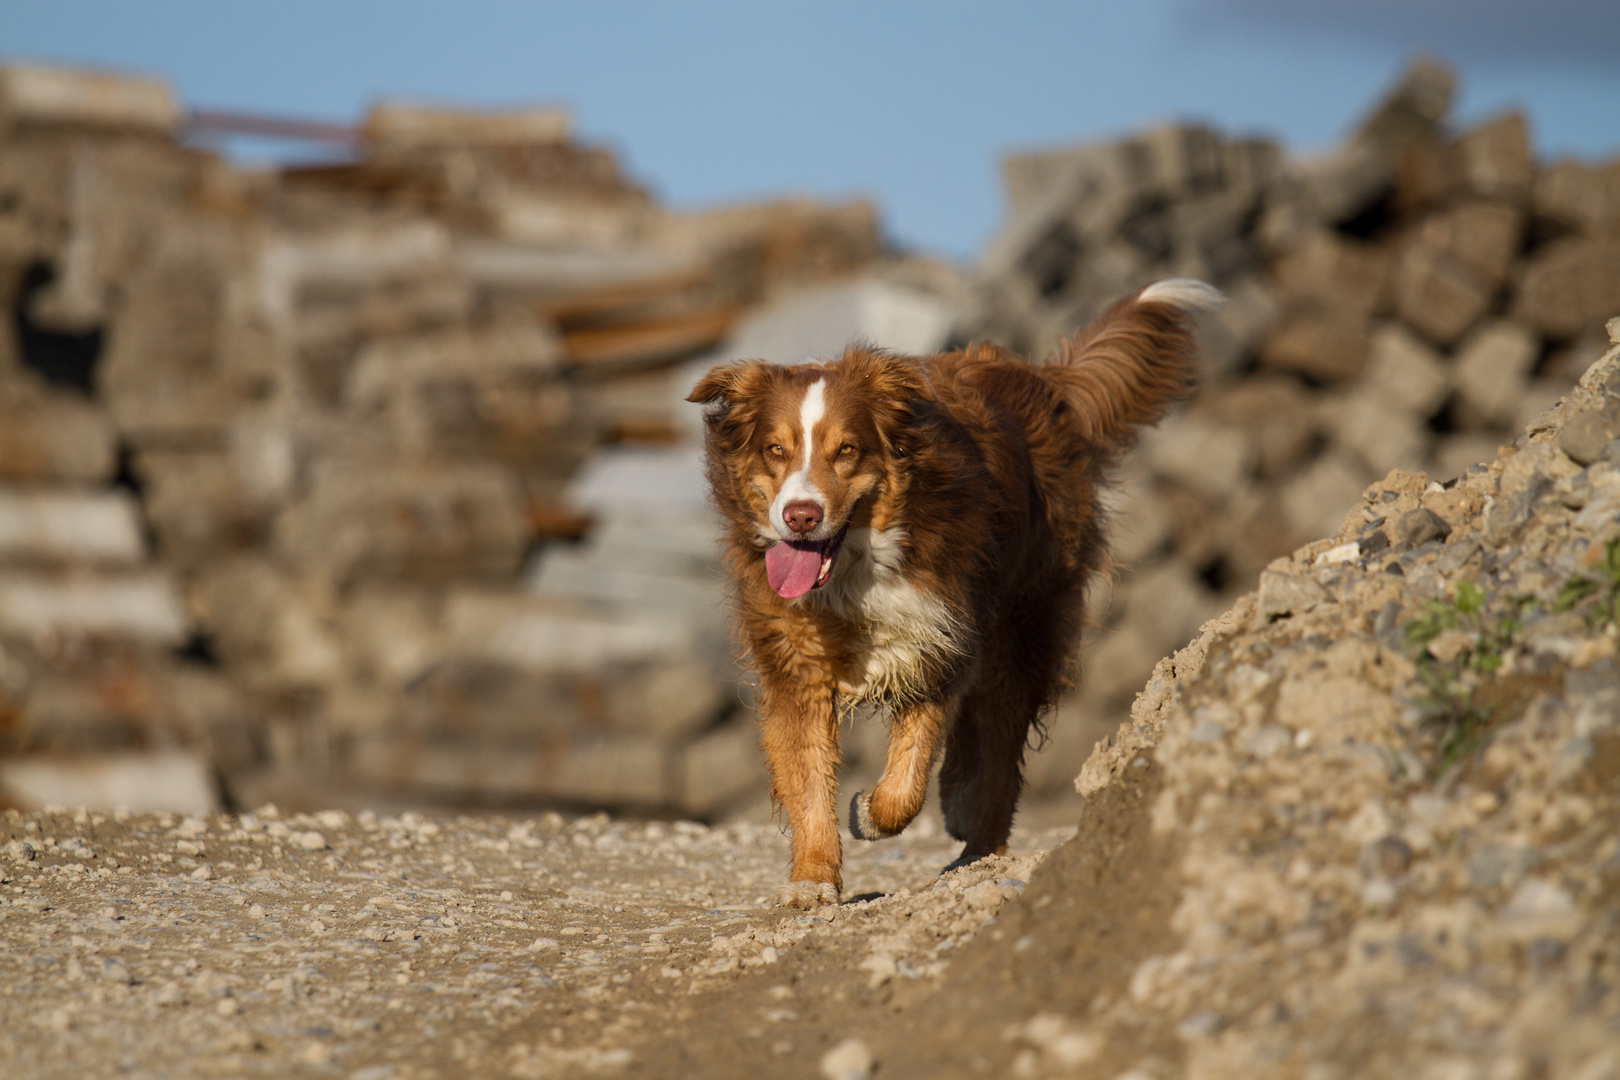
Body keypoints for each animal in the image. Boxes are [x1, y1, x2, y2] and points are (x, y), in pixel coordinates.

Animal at [690, 278, 1218, 906]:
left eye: (847, 450)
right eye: (775, 449)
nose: (800, 516)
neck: (857, 568)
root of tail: (1041, 379)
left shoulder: (937, 635)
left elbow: (905, 782)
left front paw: (868, 812)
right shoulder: (796, 657)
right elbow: (807, 770)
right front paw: (812, 878)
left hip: (1025, 615)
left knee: (1002, 732)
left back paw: (977, 846)